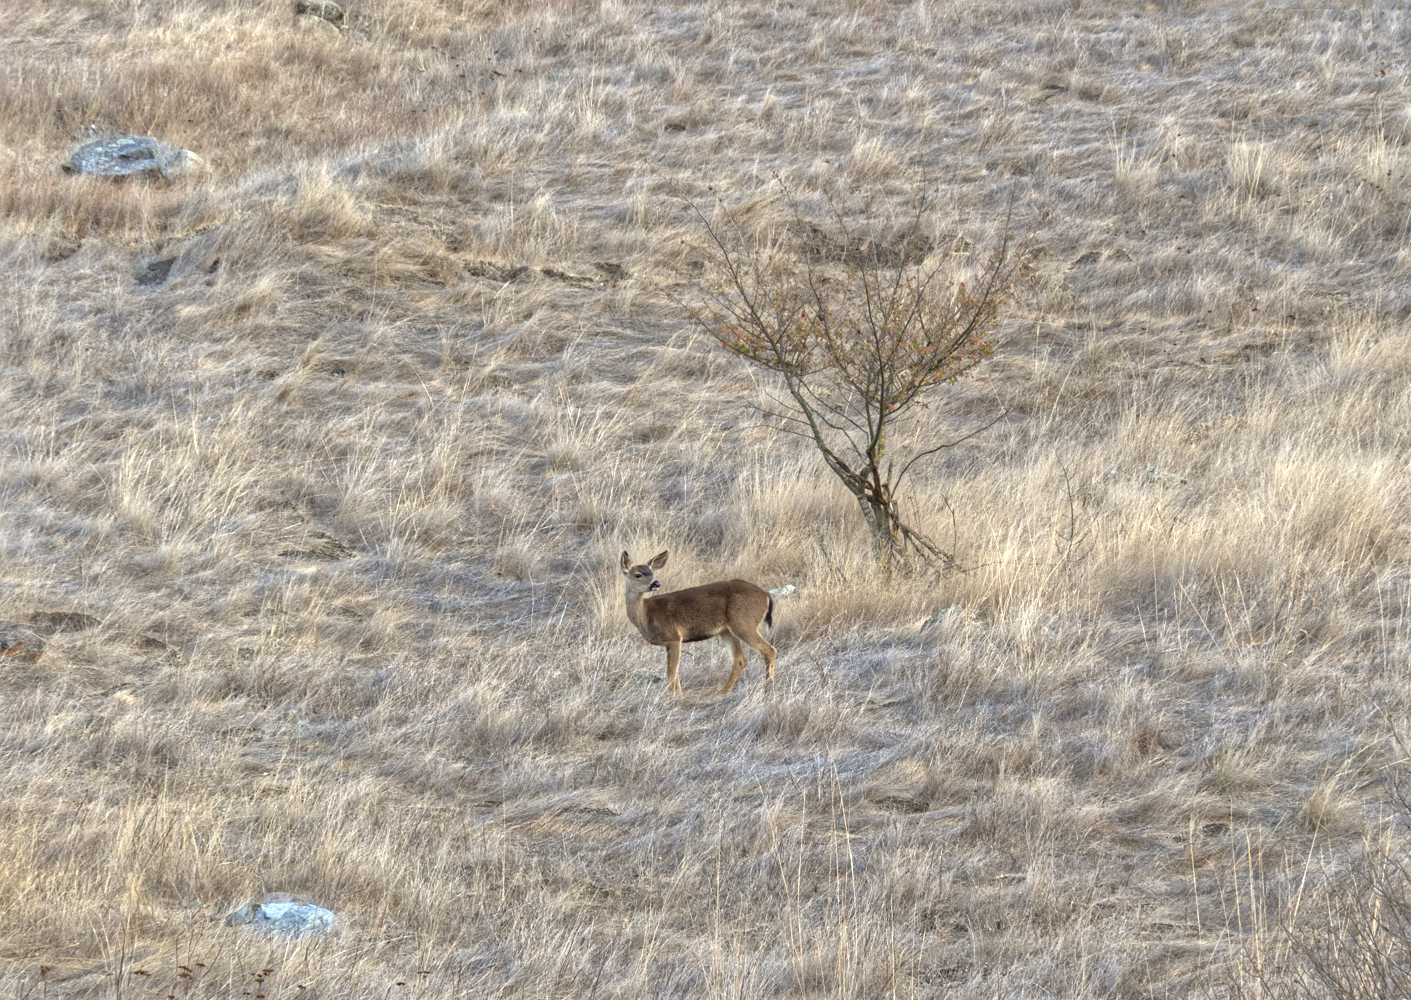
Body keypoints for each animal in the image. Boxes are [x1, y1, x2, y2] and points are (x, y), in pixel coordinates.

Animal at [623, 547, 778, 693]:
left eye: (652, 573)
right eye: (638, 574)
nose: (656, 583)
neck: (646, 615)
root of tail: (766, 596)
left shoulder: (674, 637)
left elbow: (672, 672)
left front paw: (676, 697)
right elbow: (675, 672)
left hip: (743, 623)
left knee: (769, 650)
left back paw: (768, 689)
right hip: (727, 631)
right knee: (739, 660)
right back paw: (722, 693)